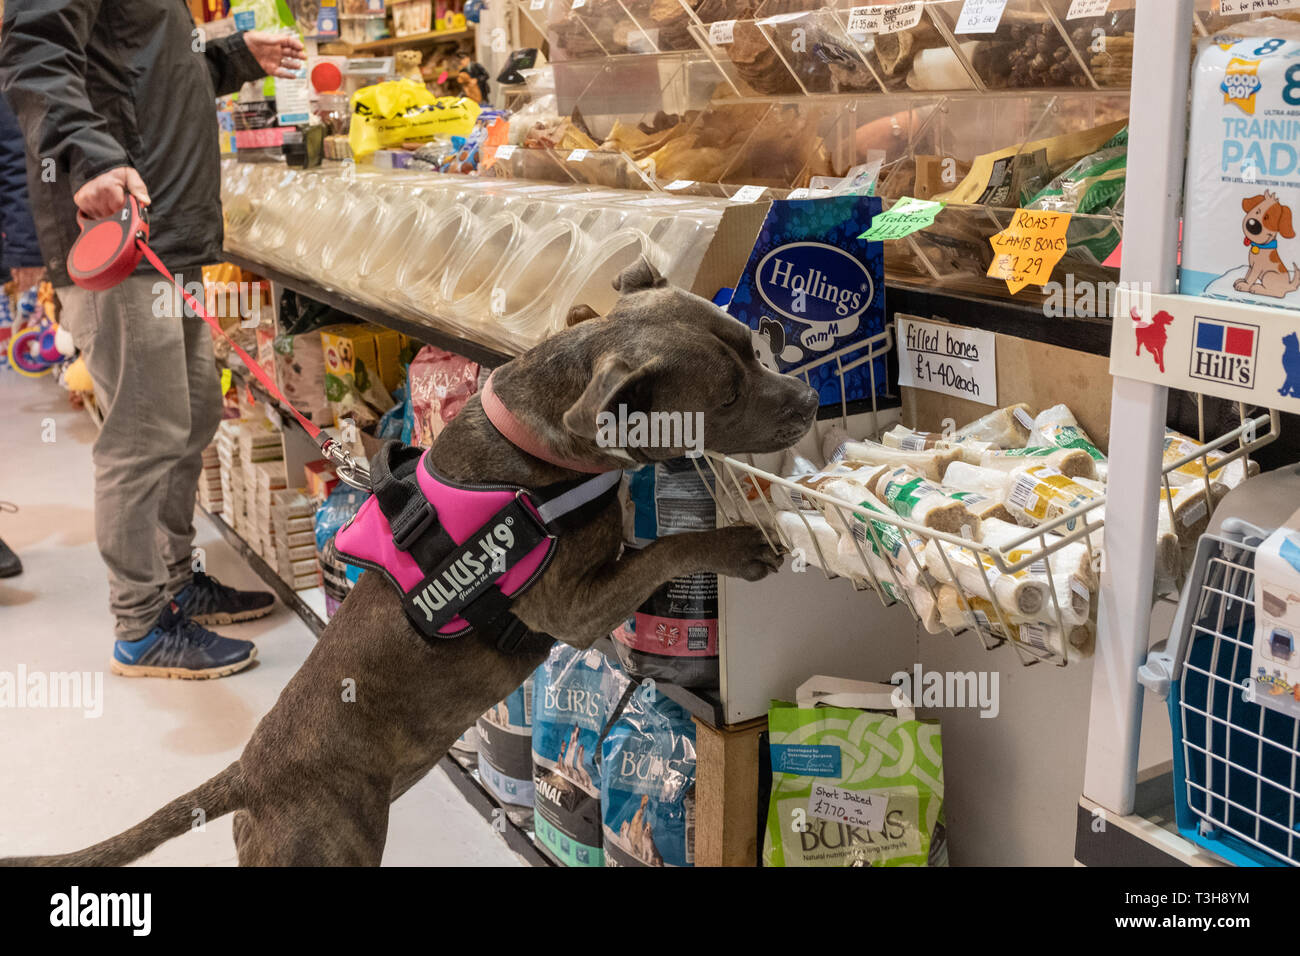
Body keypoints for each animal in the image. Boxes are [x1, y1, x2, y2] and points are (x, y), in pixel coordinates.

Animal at [5, 264, 816, 868]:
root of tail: (251, 775)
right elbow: (666, 549)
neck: (536, 441)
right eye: (728, 396)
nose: (810, 397)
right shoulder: (574, 606)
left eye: (753, 344)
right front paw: (741, 545)